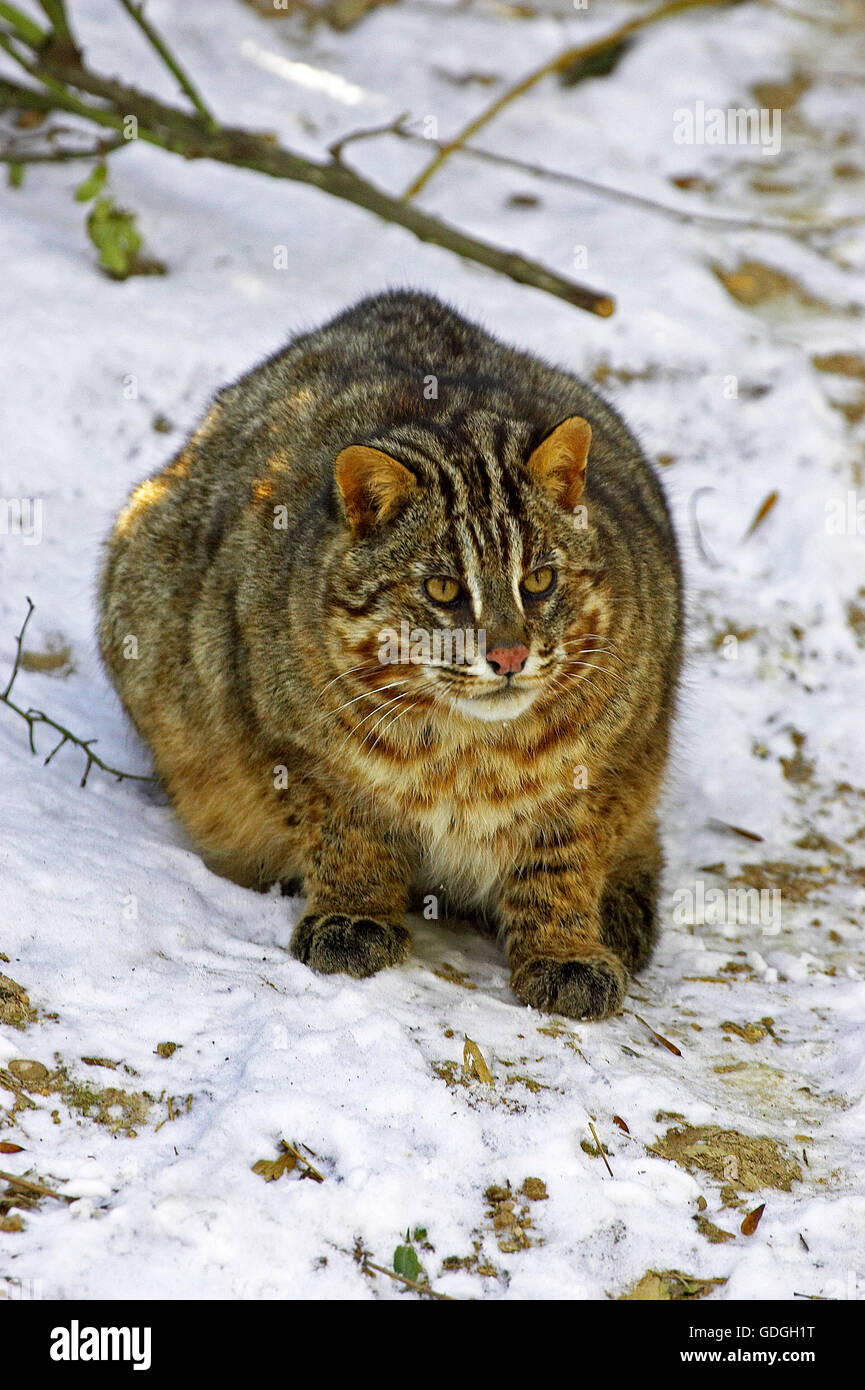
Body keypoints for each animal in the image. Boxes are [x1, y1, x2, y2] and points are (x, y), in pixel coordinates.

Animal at [100, 287, 684, 1023]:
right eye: (442, 589)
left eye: (539, 580)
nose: (509, 655)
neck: (470, 758)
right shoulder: (300, 749)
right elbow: (352, 831)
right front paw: (354, 915)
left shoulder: (609, 763)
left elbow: (563, 857)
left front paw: (564, 950)